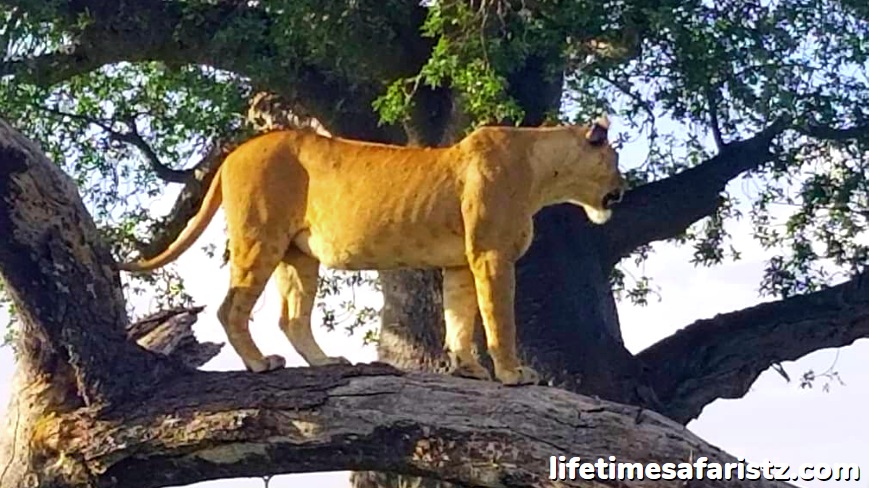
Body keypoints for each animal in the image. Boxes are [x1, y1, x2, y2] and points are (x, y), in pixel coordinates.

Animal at [118, 116, 625, 385]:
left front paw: (467, 369)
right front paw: (512, 373)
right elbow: (500, 319)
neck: (543, 173)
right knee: (231, 308)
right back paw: (261, 363)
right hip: (261, 238)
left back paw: (324, 362)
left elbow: (460, 318)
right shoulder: (491, 255)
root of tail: (233, 155)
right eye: (615, 158)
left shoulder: (462, 262)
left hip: (300, 255)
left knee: (291, 317)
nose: (622, 189)